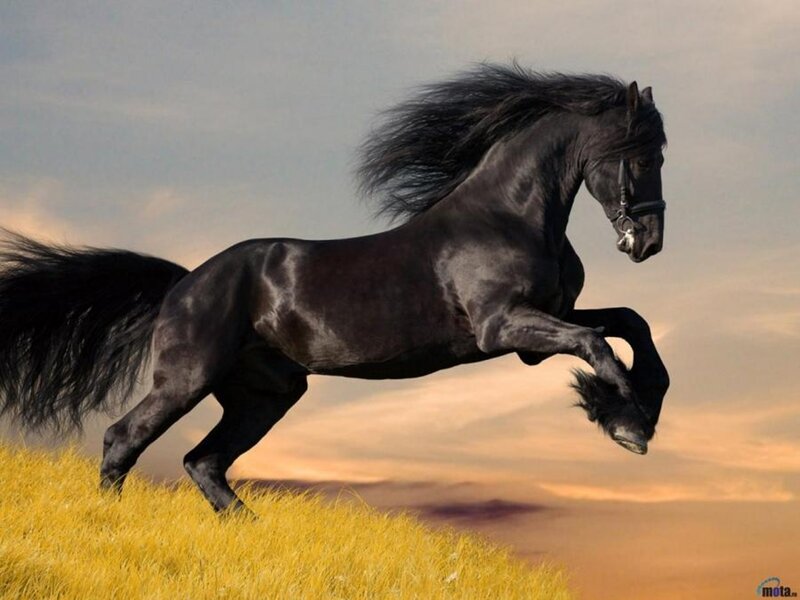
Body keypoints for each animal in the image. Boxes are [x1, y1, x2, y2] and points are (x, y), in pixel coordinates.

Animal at [0, 63, 669, 515]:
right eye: (642, 156)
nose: (649, 242)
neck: (507, 216)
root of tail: (184, 283)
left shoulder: (541, 327)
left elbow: (630, 324)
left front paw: (638, 412)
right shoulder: (502, 326)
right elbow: (597, 344)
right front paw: (627, 424)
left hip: (266, 394)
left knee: (204, 462)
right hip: (187, 378)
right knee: (124, 440)